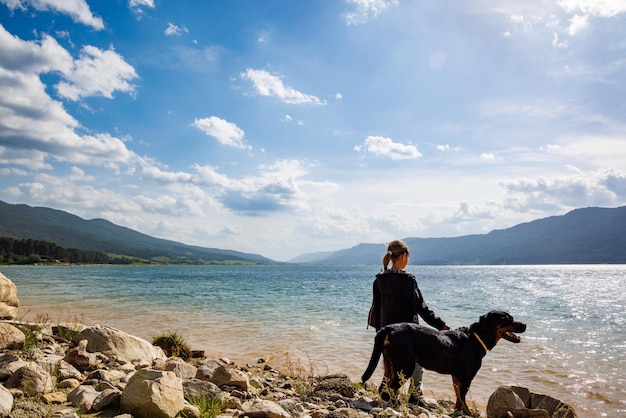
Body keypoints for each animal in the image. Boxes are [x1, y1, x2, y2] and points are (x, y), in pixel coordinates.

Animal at [360, 310, 528, 414]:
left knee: (383, 388)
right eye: (508, 319)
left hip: (390, 364)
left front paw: (463, 412)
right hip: (405, 366)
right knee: (389, 388)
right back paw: (396, 406)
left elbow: (459, 398)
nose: (525, 325)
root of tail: (388, 328)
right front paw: (464, 413)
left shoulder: (457, 377)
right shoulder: (467, 377)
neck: (476, 338)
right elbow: (462, 398)